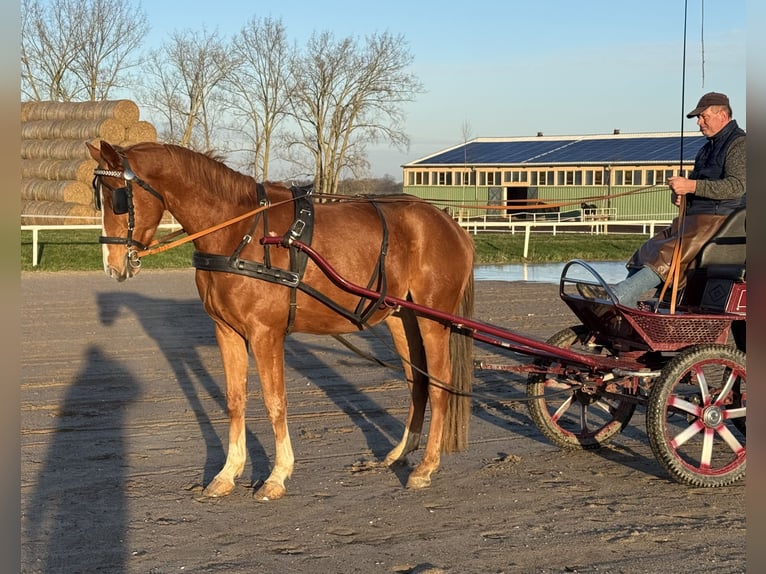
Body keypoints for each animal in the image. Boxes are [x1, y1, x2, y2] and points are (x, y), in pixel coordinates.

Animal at [88, 141, 474, 504]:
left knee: (439, 384)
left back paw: (426, 467)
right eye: (99, 198)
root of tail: (451, 224)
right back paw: (400, 454)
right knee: (417, 383)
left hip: (432, 320)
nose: (113, 266)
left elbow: (275, 401)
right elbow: (235, 400)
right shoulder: (227, 331)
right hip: (400, 318)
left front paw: (277, 476)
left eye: (118, 198)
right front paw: (227, 474)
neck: (239, 231)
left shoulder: (265, 334)